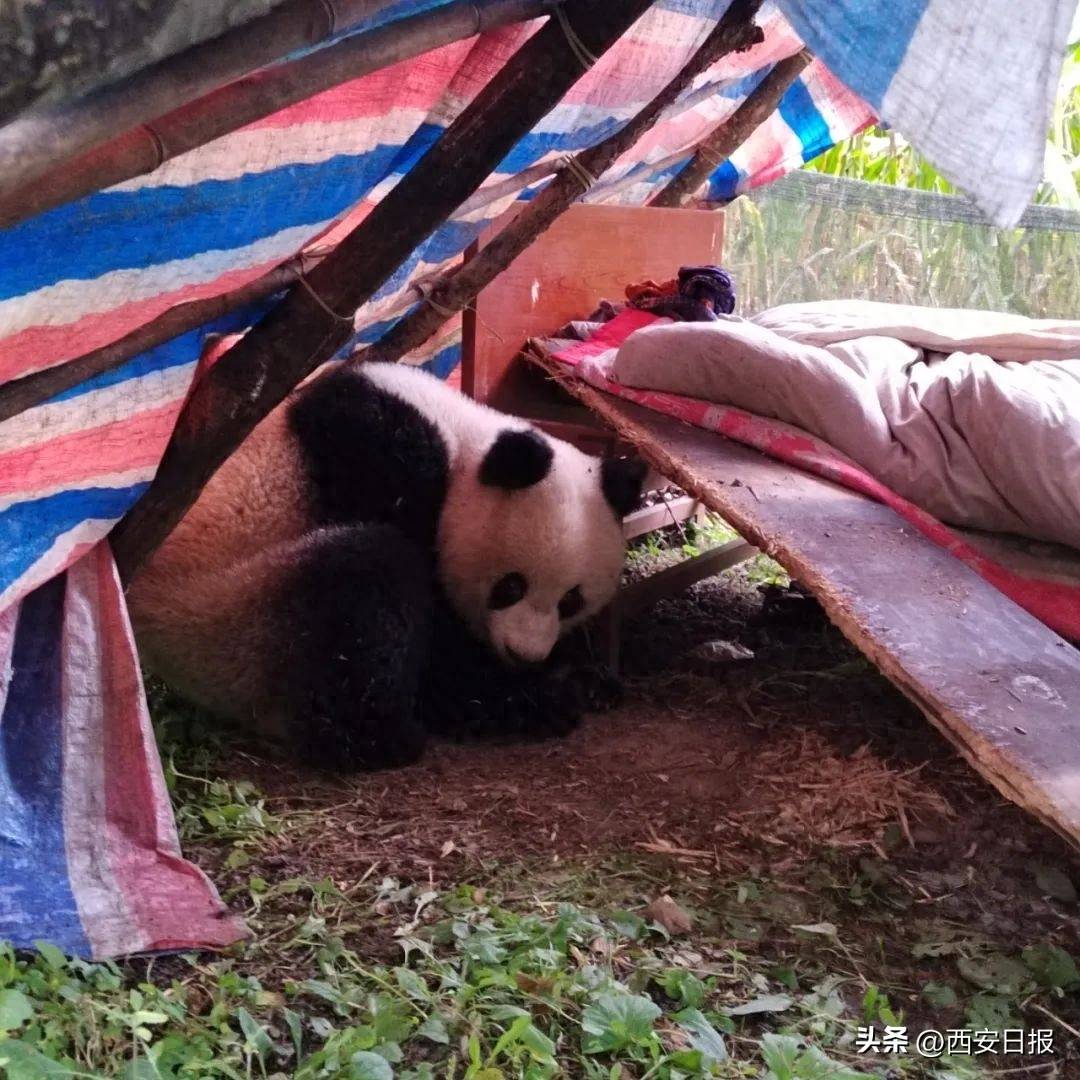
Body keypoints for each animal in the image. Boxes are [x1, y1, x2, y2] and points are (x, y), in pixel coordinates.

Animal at [129, 360, 643, 768]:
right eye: (511, 586)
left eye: (571, 601)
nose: (524, 655)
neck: (460, 438)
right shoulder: (377, 457)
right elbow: (437, 632)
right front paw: (530, 699)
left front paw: (587, 678)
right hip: (229, 619)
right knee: (366, 574)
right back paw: (383, 737)